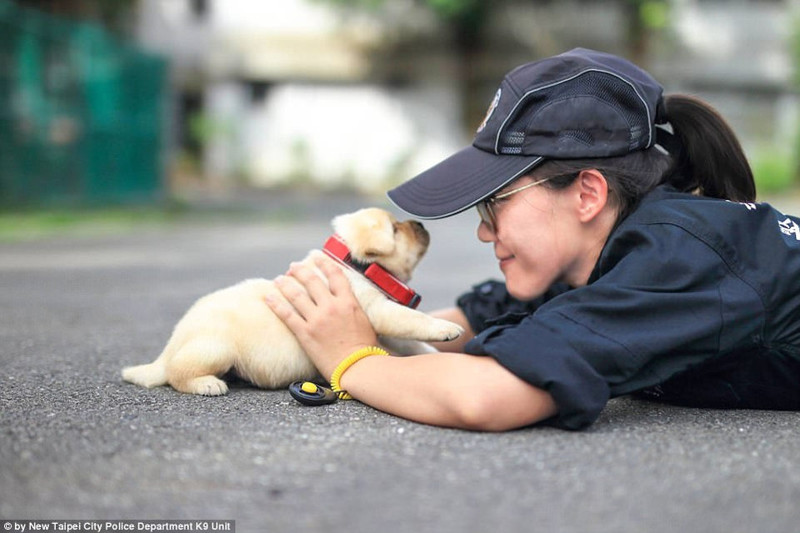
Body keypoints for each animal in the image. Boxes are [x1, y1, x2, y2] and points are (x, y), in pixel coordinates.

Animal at [122, 208, 466, 394]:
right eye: (395, 229)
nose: (420, 224)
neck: (355, 264)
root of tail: (167, 351)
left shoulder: (385, 327)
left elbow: (412, 342)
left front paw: (433, 350)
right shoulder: (380, 310)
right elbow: (413, 320)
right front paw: (445, 328)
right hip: (215, 348)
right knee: (178, 373)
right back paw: (206, 384)